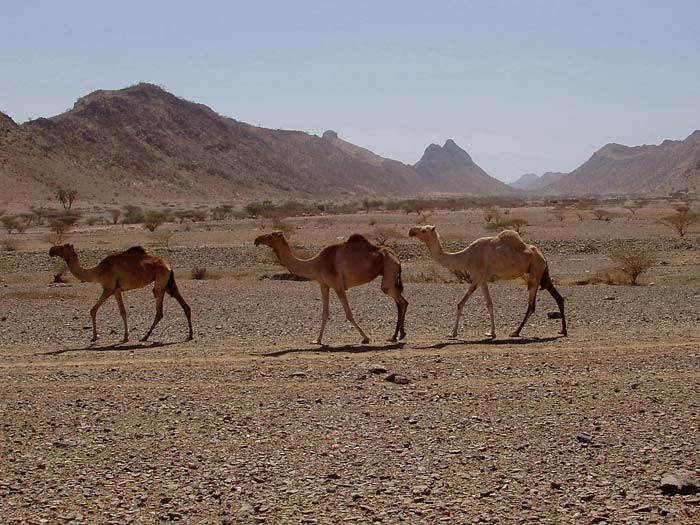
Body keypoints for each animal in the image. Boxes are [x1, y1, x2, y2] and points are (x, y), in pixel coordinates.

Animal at [48, 244, 193, 342]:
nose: (51, 250)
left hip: (160, 281)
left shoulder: (109, 289)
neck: (97, 271)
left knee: (160, 310)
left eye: (62, 248)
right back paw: (190, 335)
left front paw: (95, 337)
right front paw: (125, 337)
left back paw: (145, 337)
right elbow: (122, 312)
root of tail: (169, 265)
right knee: (184, 304)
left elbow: (93, 310)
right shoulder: (117, 290)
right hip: (167, 283)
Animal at [256, 232, 410, 346]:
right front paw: (317, 340)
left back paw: (396, 336)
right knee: (400, 302)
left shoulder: (338, 285)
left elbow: (348, 314)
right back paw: (397, 336)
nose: (256, 240)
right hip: (391, 274)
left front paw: (365, 338)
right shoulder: (324, 285)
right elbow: (325, 312)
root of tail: (396, 257)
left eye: (270, 237)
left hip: (389, 270)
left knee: (401, 301)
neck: (316, 264)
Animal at [408, 225, 568, 340]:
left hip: (535, 272)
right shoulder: (481, 280)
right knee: (558, 297)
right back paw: (563, 330)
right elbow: (485, 304)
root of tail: (543, 256)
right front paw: (490, 333)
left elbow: (465, 303)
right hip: (541, 273)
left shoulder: (477, 278)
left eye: (424, 229)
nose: (410, 231)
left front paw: (454, 333)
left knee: (532, 305)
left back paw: (515, 332)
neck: (466, 256)